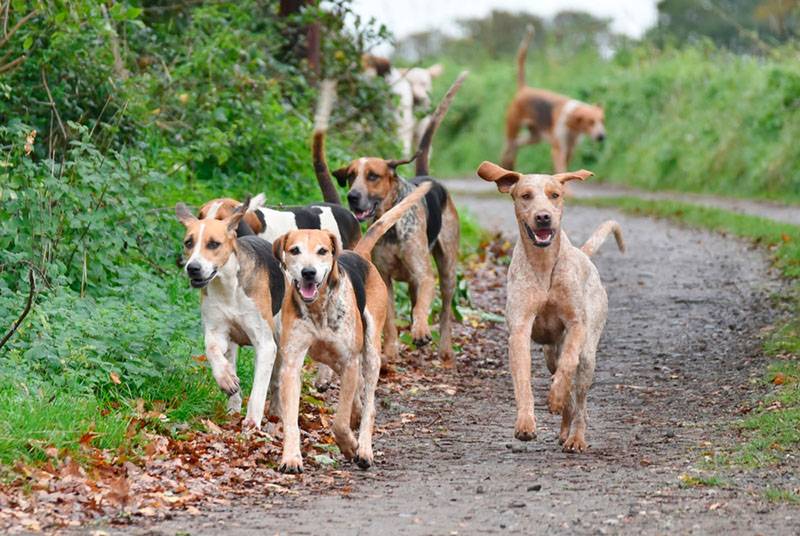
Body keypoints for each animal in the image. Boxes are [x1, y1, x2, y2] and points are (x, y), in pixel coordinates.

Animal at [175, 199, 284, 430]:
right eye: (188, 243)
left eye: (213, 244)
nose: (192, 268)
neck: (227, 287)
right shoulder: (217, 331)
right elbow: (211, 349)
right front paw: (225, 378)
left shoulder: (265, 344)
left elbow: (258, 389)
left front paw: (252, 422)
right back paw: (232, 405)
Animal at [270, 181, 434, 474]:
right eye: (295, 250)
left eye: (322, 251)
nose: (308, 273)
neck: (319, 308)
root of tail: (359, 254)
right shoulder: (292, 364)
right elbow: (291, 420)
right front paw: (290, 457)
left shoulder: (349, 362)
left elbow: (339, 421)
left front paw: (349, 445)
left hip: (370, 352)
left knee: (368, 405)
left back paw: (364, 447)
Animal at [310, 72, 466, 368]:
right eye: (351, 176)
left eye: (373, 176)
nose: (352, 196)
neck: (392, 228)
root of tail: (427, 175)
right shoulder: (385, 279)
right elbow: (391, 320)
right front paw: (391, 351)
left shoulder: (424, 275)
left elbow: (423, 308)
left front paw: (419, 330)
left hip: (448, 270)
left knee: (443, 310)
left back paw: (444, 349)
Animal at [476, 160, 624, 452]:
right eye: (525, 195)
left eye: (555, 194)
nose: (543, 217)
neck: (544, 265)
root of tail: (584, 254)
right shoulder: (520, 330)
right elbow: (523, 381)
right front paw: (526, 424)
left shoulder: (576, 325)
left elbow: (569, 363)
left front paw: (555, 397)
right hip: (548, 354)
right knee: (567, 390)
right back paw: (565, 429)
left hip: (588, 352)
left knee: (580, 400)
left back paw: (576, 437)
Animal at [500, 26, 608, 173]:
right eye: (591, 122)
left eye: (602, 120)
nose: (601, 136)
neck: (572, 126)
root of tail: (524, 89)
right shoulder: (558, 150)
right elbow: (561, 168)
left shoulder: (570, 150)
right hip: (513, 129)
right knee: (507, 149)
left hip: (535, 136)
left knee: (517, 145)